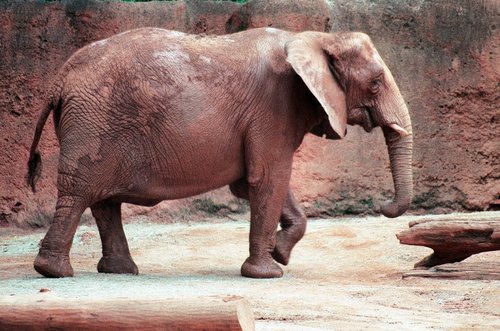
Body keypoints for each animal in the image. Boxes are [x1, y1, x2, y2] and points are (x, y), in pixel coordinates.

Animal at [25, 26, 412, 280]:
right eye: (375, 83)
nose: (382, 206)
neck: (316, 37)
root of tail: (60, 78)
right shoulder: (272, 108)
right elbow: (268, 179)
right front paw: (268, 273)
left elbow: (257, 182)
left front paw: (280, 253)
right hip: (94, 123)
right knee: (79, 193)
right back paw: (54, 272)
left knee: (103, 201)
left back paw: (119, 271)